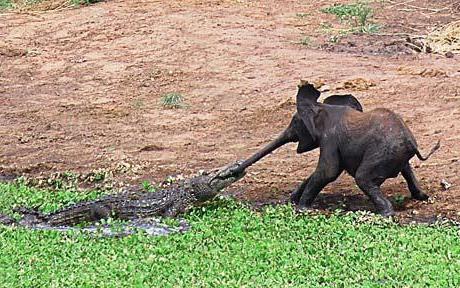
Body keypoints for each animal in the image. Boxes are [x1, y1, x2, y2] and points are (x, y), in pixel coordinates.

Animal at [292, 82, 440, 215]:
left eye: (295, 122)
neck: (323, 107)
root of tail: (411, 142)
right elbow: (326, 172)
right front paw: (293, 200)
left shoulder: (330, 139)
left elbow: (328, 172)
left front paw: (302, 209)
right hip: (395, 154)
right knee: (405, 170)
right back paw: (422, 197)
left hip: (382, 153)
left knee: (362, 178)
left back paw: (385, 215)